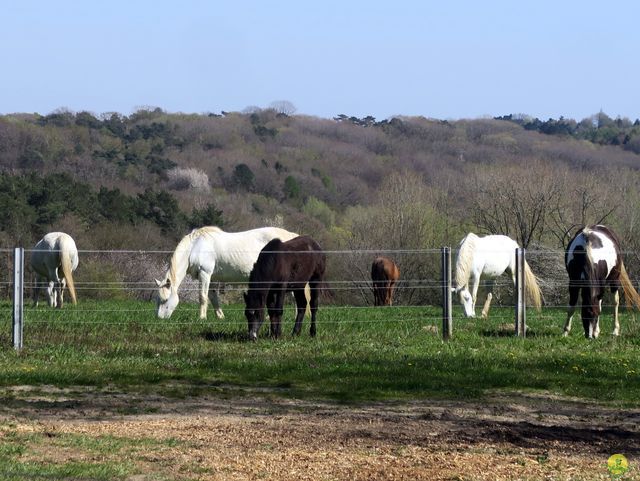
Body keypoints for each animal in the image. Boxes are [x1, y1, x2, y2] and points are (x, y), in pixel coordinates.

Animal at [156, 226, 304, 318]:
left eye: (165, 299)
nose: (159, 318)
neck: (195, 247)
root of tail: (292, 236)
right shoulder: (212, 278)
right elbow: (213, 297)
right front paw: (220, 316)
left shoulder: (205, 274)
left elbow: (203, 297)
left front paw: (202, 317)